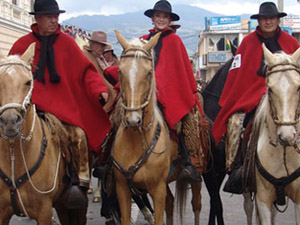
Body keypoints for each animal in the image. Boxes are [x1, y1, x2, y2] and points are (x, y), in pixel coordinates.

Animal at [0, 43, 88, 224]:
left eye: (28, 82)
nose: (10, 121)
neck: (14, 159)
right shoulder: (1, 211)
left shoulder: (44, 211)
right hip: (61, 205)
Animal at [110, 31, 202, 225]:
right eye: (120, 71)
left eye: (148, 73)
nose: (133, 120)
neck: (136, 142)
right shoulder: (122, 189)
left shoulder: (157, 190)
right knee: (171, 203)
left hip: (198, 174)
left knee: (196, 204)